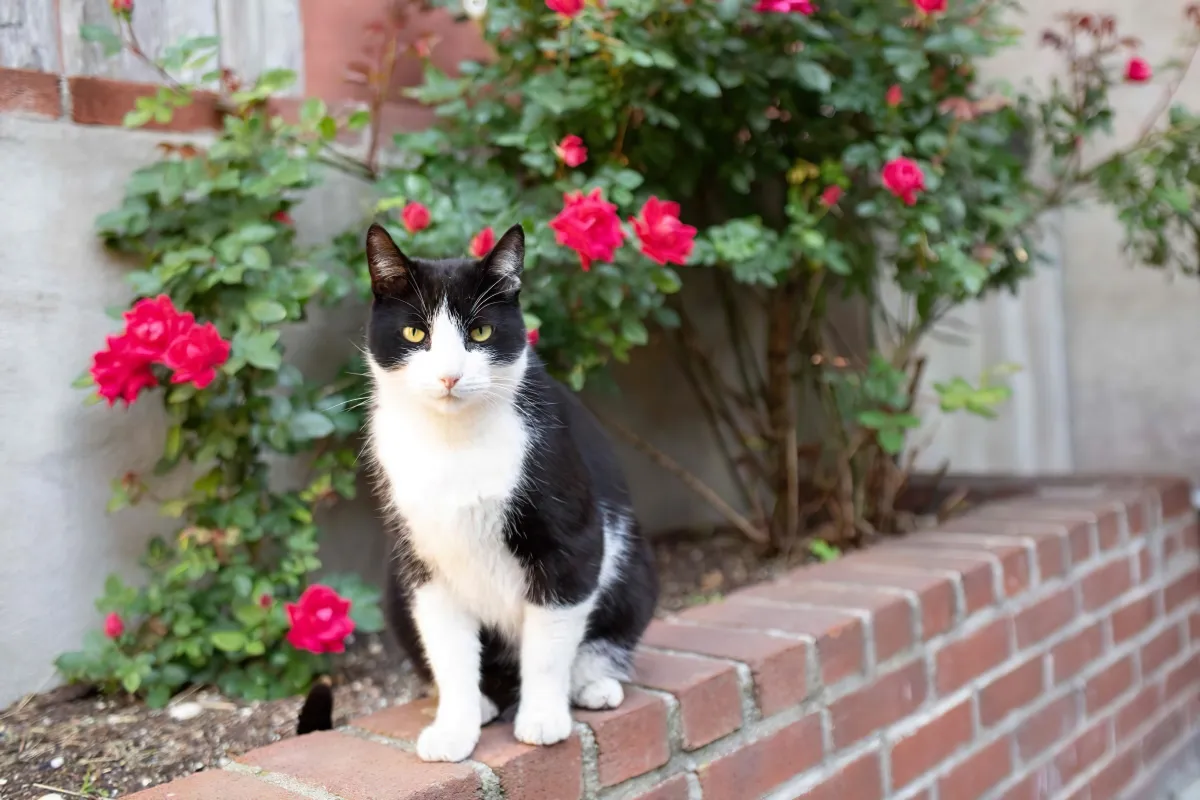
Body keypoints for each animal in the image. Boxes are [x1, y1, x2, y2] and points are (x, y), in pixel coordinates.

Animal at [360, 224, 662, 762]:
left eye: (480, 333)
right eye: (416, 334)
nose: (450, 375)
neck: (454, 443)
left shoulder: (570, 544)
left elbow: (548, 644)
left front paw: (542, 719)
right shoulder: (423, 561)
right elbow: (449, 649)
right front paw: (454, 729)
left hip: (635, 566)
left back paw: (592, 683)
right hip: (395, 585)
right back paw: (484, 702)